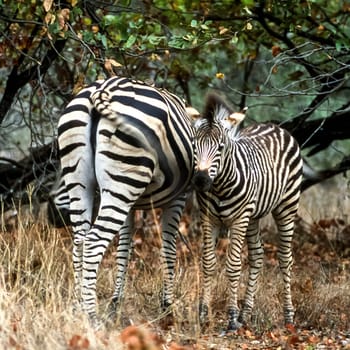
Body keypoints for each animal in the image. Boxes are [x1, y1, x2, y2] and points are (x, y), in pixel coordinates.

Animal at [58, 76, 194, 326]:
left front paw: (116, 302)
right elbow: (169, 248)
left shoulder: (130, 206)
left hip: (83, 180)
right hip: (124, 181)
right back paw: (91, 314)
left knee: (79, 241)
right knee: (93, 242)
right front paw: (167, 307)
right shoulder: (178, 198)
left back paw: (79, 305)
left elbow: (123, 250)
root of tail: (104, 89)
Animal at [191, 94, 304, 332]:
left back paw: (288, 316)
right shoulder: (208, 218)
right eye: (195, 145)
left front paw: (231, 318)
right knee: (257, 255)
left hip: (287, 206)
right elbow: (208, 262)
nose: (201, 181)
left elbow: (233, 265)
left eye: (221, 147)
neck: (220, 186)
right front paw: (203, 314)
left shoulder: (239, 219)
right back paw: (246, 313)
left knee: (285, 258)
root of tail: (275, 126)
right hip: (254, 216)